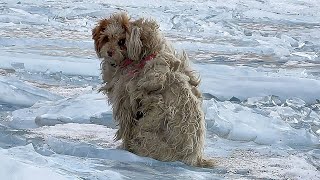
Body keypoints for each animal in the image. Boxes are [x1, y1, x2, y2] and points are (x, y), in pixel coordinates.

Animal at [91, 12, 214, 167]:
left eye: (121, 41)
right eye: (106, 38)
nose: (109, 52)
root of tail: (194, 158)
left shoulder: (126, 103)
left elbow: (126, 128)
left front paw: (123, 149)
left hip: (143, 136)